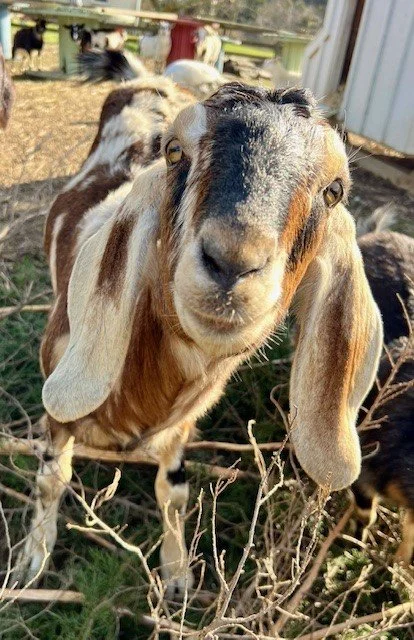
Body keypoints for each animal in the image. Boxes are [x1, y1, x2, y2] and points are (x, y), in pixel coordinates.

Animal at [14, 83, 382, 596]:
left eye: (334, 190)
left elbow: (174, 491)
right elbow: (53, 477)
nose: (232, 262)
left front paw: (177, 575)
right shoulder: (57, 397)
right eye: (173, 152)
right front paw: (32, 560)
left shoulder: (183, 425)